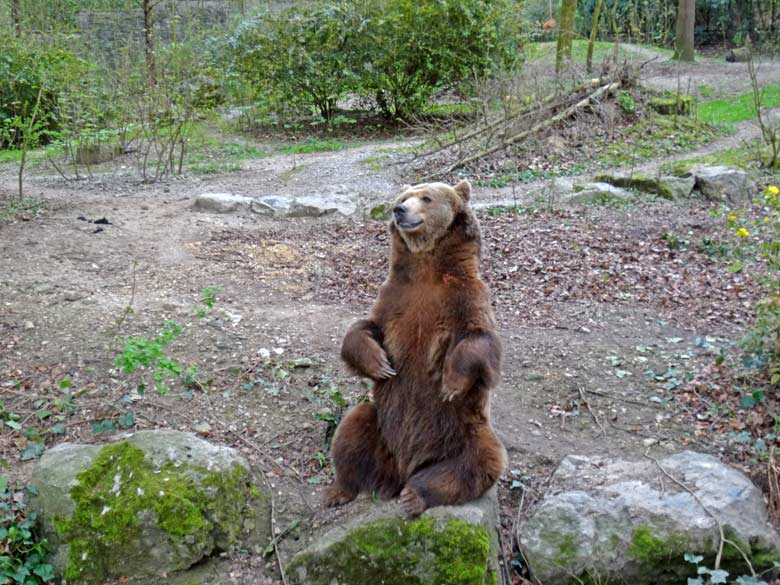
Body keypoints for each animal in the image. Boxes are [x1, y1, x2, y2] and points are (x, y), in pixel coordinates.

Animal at [322, 179, 506, 516]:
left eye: (427, 197)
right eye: (403, 196)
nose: (399, 210)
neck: (426, 268)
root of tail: (403, 468)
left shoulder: (465, 299)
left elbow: (479, 341)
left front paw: (450, 383)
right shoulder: (395, 297)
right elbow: (365, 329)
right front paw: (380, 364)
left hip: (463, 431)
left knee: (479, 460)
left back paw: (415, 495)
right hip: (380, 424)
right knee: (352, 430)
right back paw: (339, 490)